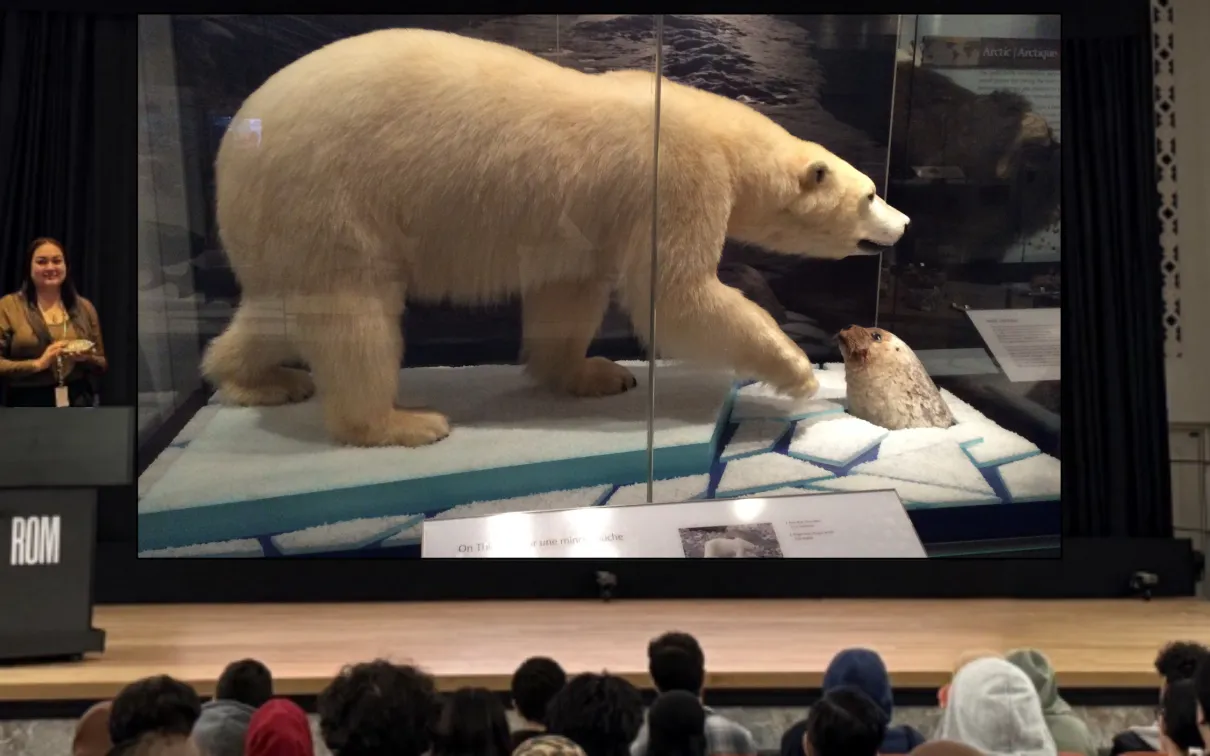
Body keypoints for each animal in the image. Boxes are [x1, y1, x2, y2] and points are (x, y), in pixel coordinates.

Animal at [200, 28, 911, 447]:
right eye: (870, 193)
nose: (903, 223)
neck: (722, 136)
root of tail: (232, 149)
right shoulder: (675, 177)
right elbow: (675, 296)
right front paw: (796, 370)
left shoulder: (585, 217)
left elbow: (568, 293)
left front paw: (593, 373)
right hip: (332, 195)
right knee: (355, 317)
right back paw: (400, 421)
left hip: (290, 226)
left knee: (280, 307)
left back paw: (255, 378)